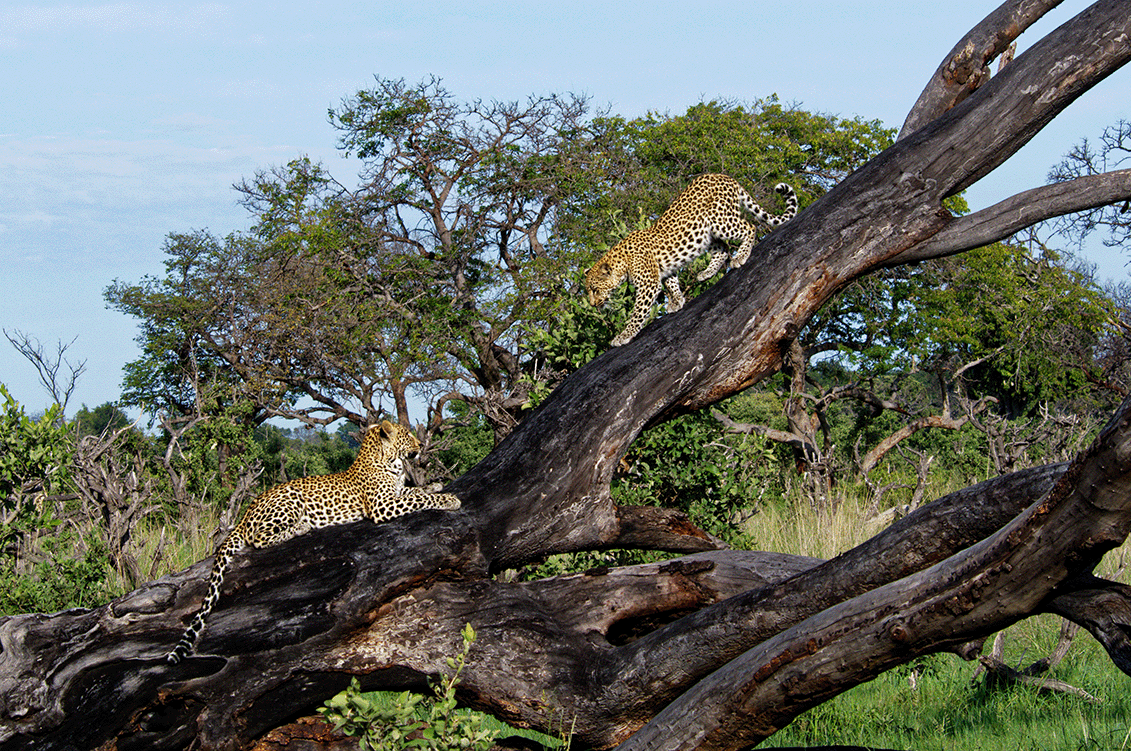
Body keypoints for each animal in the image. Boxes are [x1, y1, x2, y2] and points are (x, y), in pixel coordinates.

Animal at [166, 419, 461, 663]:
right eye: (407, 435)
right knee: (258, 538)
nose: (420, 445)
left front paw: (435, 486)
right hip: (288, 501)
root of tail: (246, 513)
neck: (390, 462)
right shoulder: (382, 506)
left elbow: (416, 492)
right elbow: (419, 500)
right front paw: (449, 499)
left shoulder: (396, 494)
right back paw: (301, 527)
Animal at [585, 173, 798, 346]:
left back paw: (741, 257)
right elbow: (671, 282)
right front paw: (677, 301)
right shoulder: (664, 270)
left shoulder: (648, 285)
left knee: (749, 227)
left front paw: (623, 336)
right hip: (706, 232)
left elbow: (638, 313)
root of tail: (726, 177)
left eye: (595, 290)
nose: (593, 305)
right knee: (722, 248)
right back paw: (706, 273)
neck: (622, 262)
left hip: (721, 220)